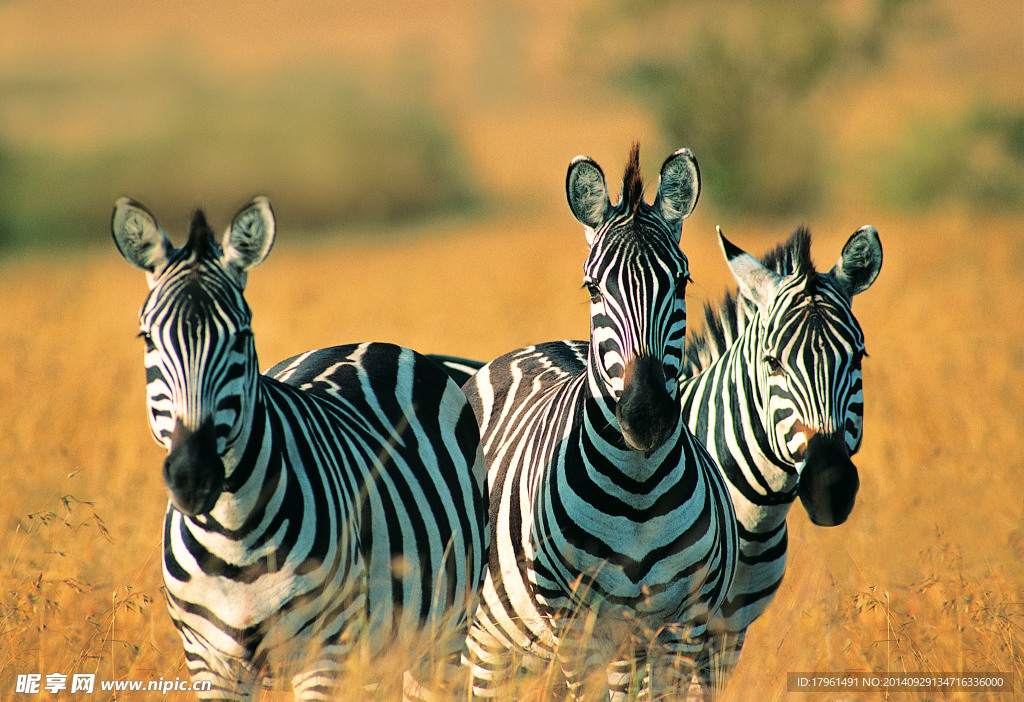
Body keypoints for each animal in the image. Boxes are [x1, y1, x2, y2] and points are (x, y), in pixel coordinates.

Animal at [114, 198, 489, 702]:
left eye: (241, 337)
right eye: (148, 339)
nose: (194, 477)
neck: (234, 539)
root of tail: (373, 343)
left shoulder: (324, 652)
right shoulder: (209, 659)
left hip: (441, 634)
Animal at [462, 145, 737, 699]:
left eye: (682, 282)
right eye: (592, 289)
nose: (645, 416)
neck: (638, 492)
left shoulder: (682, 624)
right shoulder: (577, 626)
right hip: (490, 639)